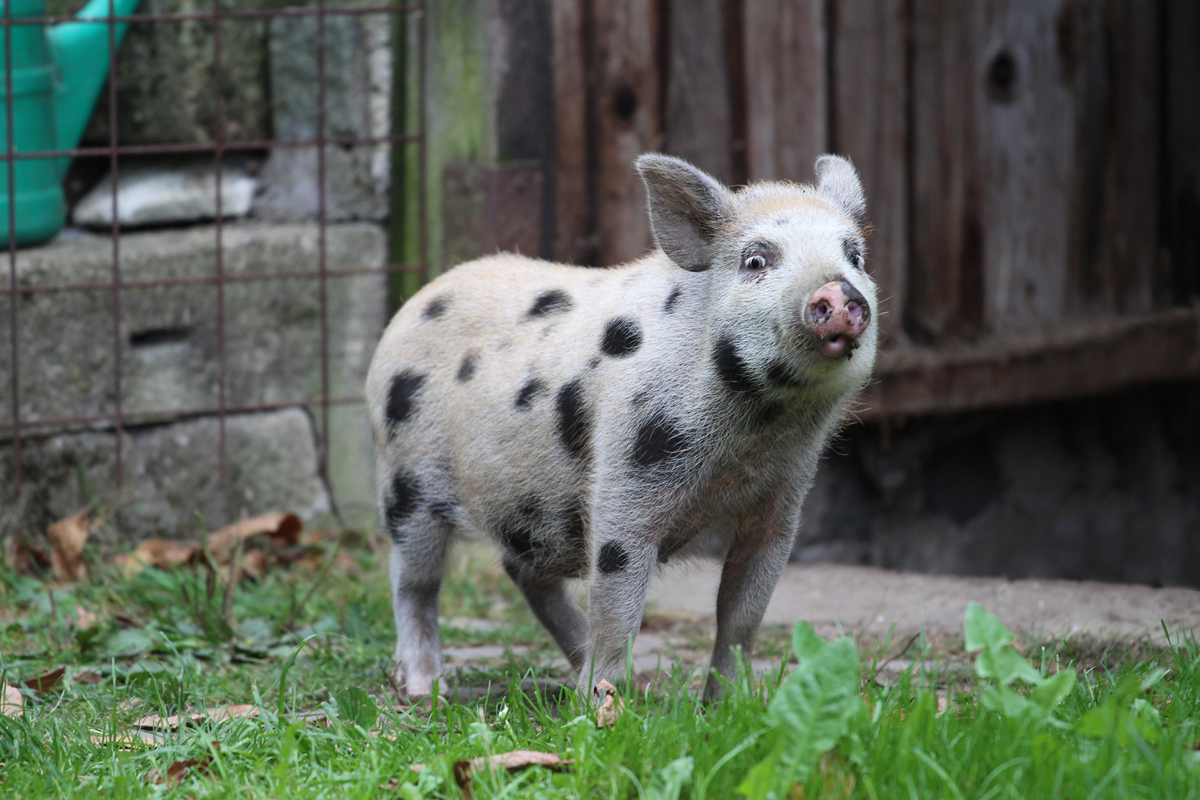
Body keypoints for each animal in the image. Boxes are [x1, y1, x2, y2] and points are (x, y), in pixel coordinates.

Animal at [367, 154, 883, 700]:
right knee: (413, 580)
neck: (755, 433)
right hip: (406, 479)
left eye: (855, 256)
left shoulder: (783, 497)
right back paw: (425, 689)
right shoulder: (627, 473)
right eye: (756, 260)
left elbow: (742, 615)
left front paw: (727, 706)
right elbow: (619, 602)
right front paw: (603, 706)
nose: (838, 290)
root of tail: (414, 303)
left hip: (526, 503)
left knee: (523, 572)